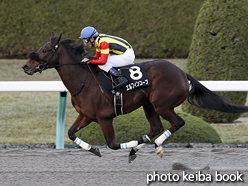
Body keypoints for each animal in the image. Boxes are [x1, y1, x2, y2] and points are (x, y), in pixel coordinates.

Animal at [22, 33, 248, 163]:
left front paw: (121, 148)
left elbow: (112, 144)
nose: (26, 66)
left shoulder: (104, 118)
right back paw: (143, 146)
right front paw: (93, 149)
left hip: (161, 104)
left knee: (177, 123)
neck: (84, 80)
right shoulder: (86, 116)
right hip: (148, 105)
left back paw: (156, 146)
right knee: (156, 128)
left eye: (46, 50)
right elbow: (70, 133)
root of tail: (182, 73)